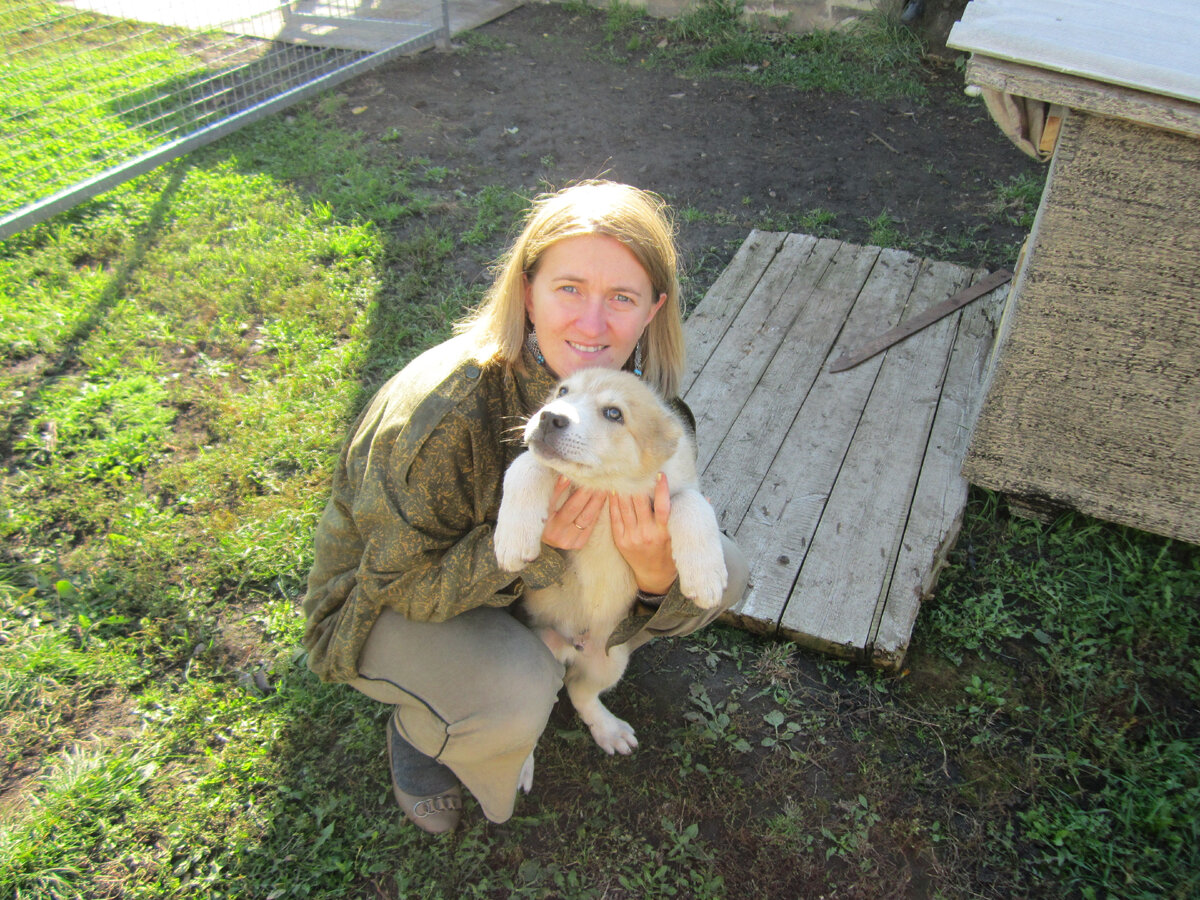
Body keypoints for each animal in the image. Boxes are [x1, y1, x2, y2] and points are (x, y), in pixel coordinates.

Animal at [493, 368, 727, 789]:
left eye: (614, 413)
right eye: (562, 391)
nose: (549, 417)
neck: (606, 487)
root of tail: (569, 646)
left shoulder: (676, 489)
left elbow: (694, 504)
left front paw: (705, 577)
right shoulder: (539, 465)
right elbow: (525, 465)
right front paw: (512, 540)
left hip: (610, 659)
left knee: (578, 692)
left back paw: (610, 731)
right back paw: (521, 767)